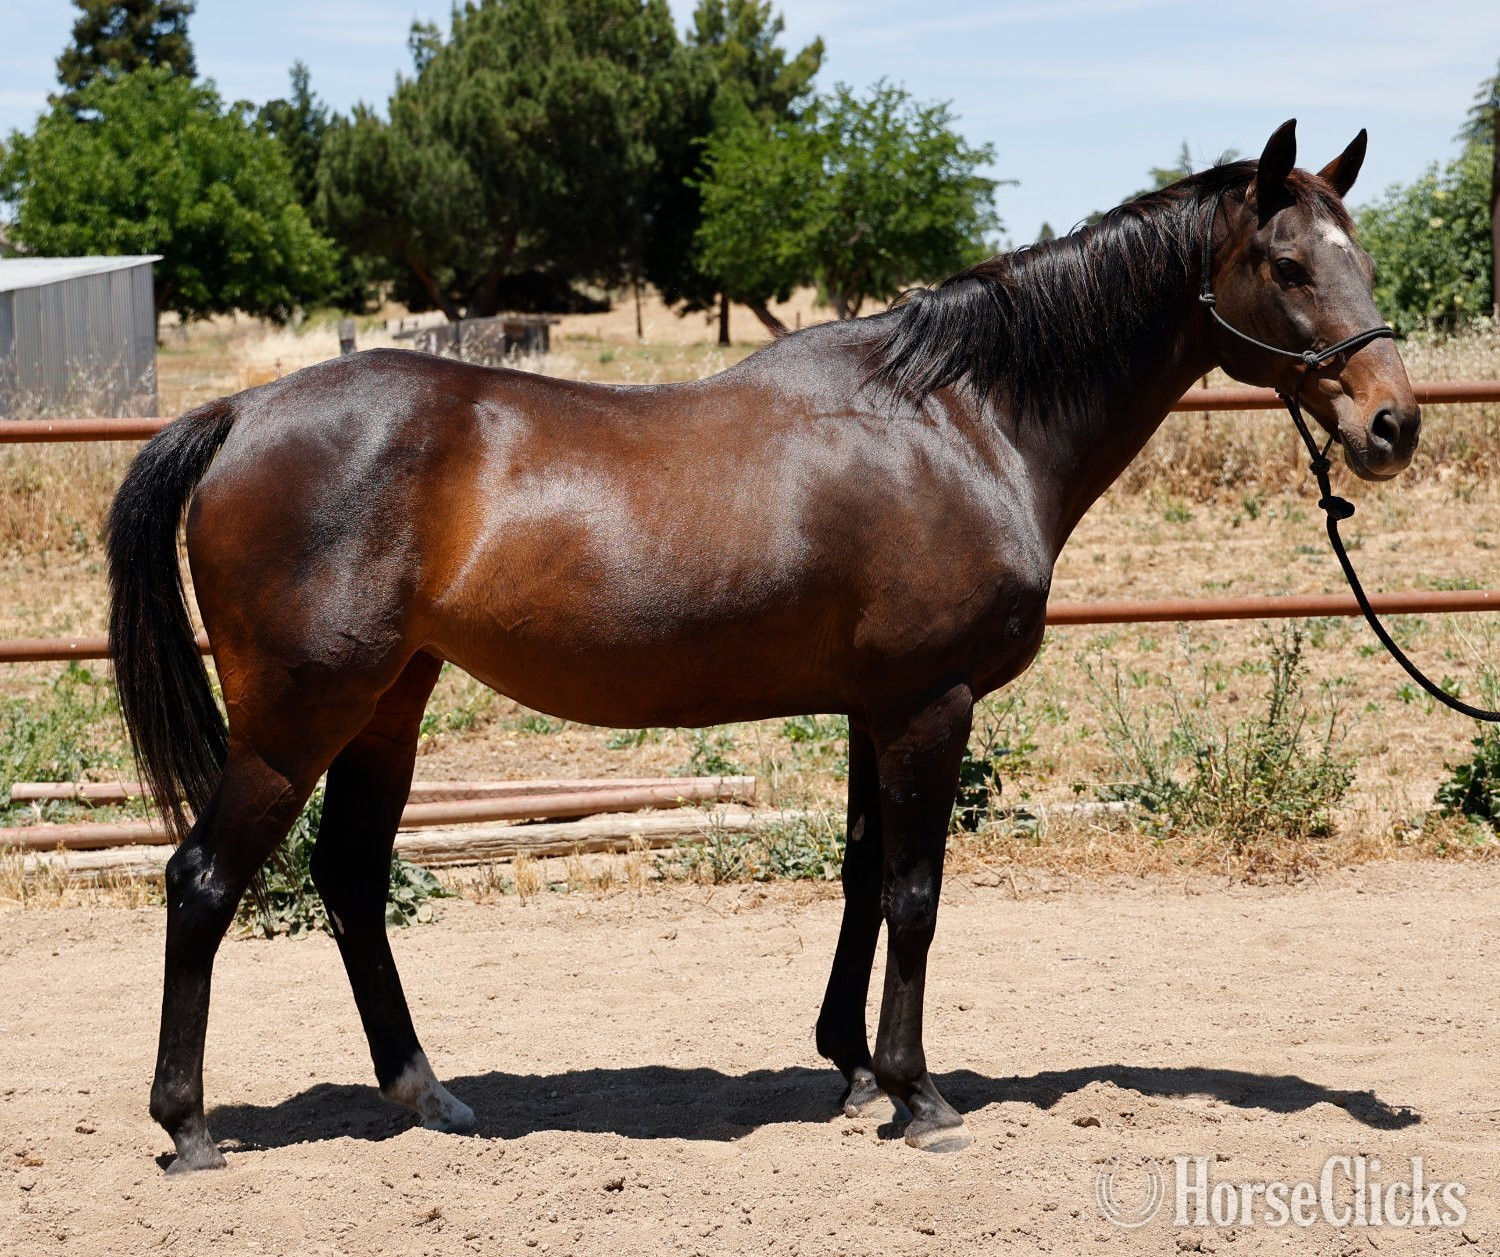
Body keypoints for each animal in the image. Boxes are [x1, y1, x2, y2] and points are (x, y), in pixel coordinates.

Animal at [108, 119, 1419, 1172]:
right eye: (1289, 265)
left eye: (1362, 256)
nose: (1392, 424)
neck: (960, 420)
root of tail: (242, 413)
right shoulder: (932, 703)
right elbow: (916, 891)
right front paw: (918, 1096)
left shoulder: (874, 706)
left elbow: (860, 876)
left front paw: (851, 1067)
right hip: (297, 719)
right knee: (203, 881)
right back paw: (189, 1127)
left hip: (389, 705)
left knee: (350, 881)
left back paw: (429, 1097)